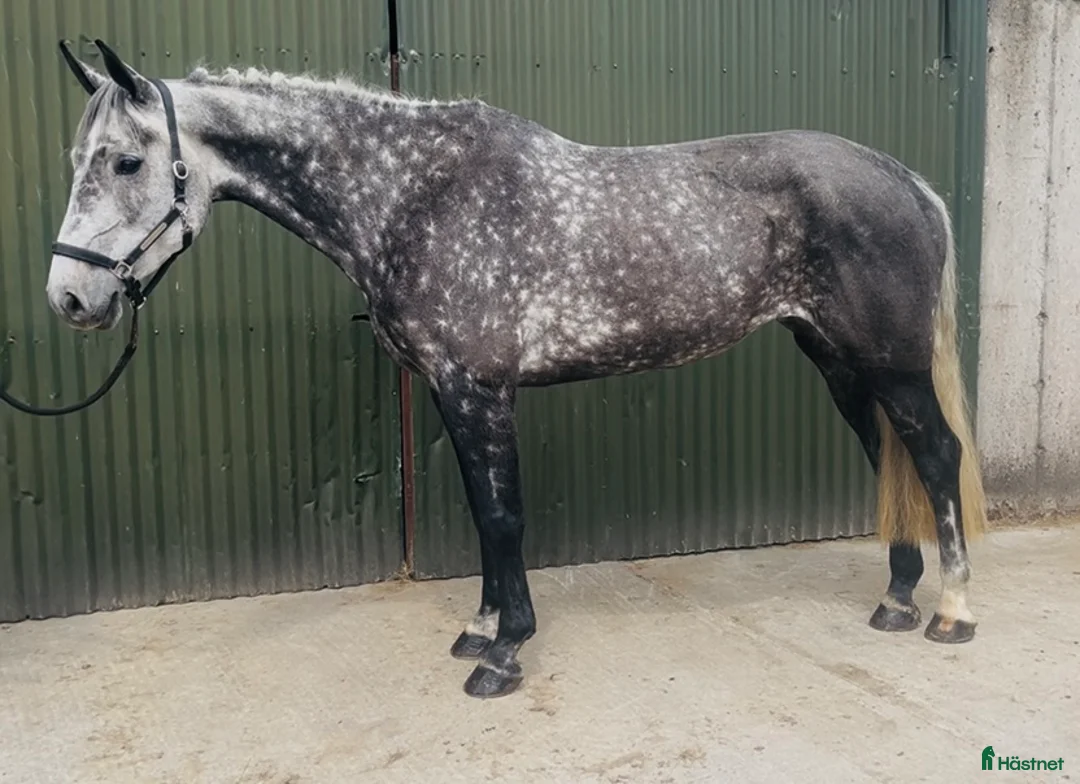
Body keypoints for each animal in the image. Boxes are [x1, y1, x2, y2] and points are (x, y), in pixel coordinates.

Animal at [38, 40, 985, 699]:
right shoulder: (452, 393)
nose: (70, 298)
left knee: (936, 456)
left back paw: (951, 612)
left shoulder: (479, 390)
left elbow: (501, 517)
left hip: (892, 366)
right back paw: (898, 599)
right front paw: (481, 625)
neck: (413, 197)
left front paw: (503, 653)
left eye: (127, 161)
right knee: (889, 458)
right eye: (77, 160)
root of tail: (904, 179)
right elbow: (480, 514)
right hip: (840, 364)